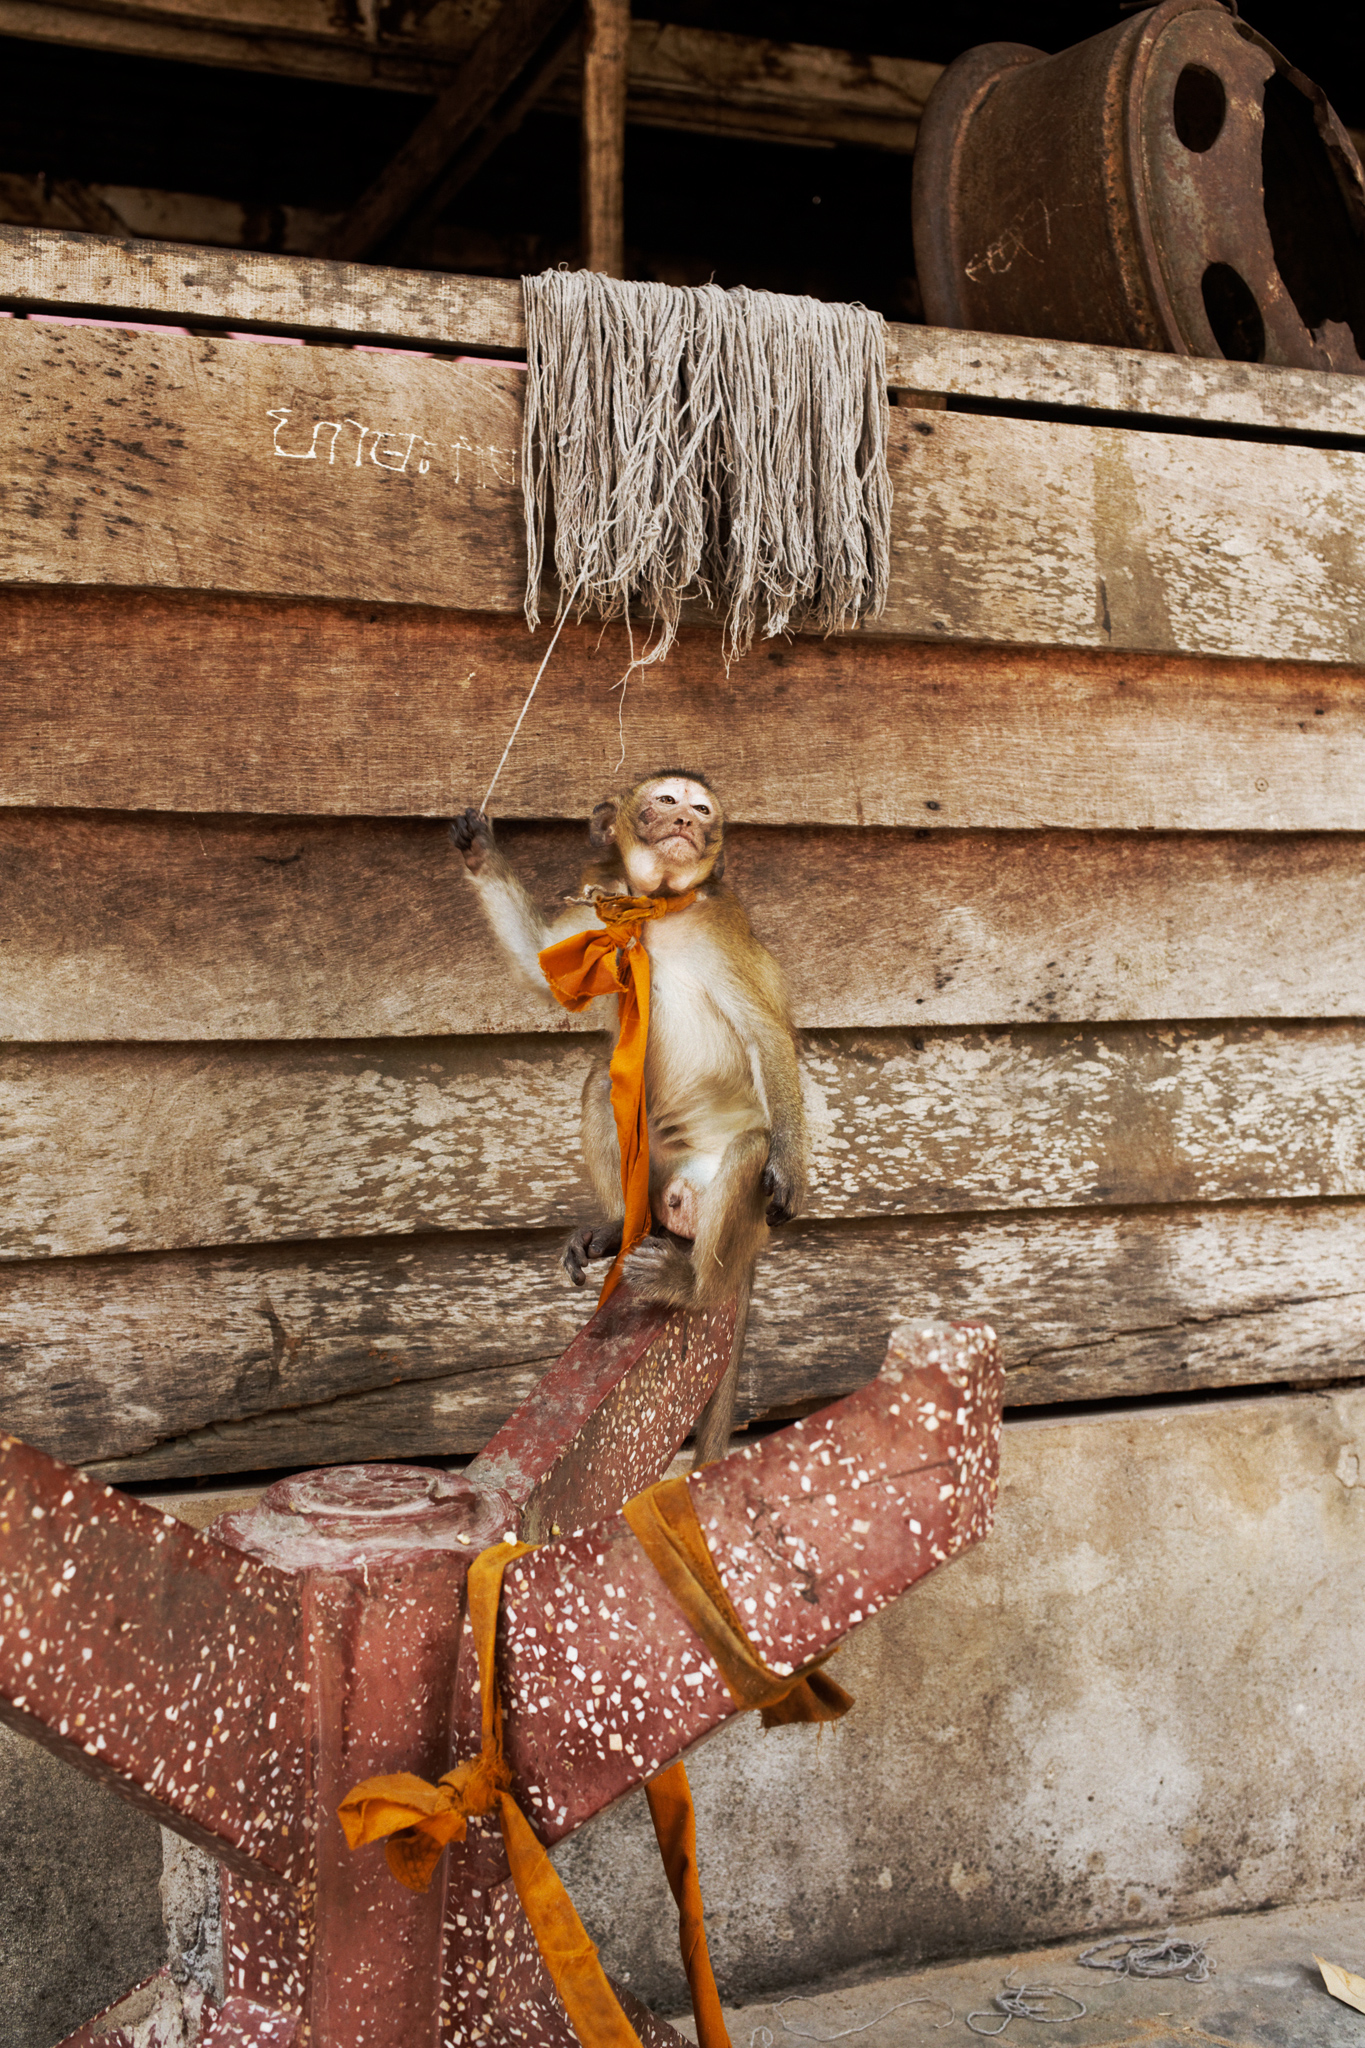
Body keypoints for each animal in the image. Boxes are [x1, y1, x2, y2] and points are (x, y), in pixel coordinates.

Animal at [450, 773, 808, 1328]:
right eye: (667, 800)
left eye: (703, 810)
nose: (684, 822)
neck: (654, 910)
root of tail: (676, 1191)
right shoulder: (597, 920)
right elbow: (539, 966)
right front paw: (480, 852)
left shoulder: (721, 934)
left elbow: (764, 1032)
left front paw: (789, 1164)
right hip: (652, 1171)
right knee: (603, 1084)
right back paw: (619, 1226)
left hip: (741, 1221)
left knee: (750, 1149)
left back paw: (692, 1287)